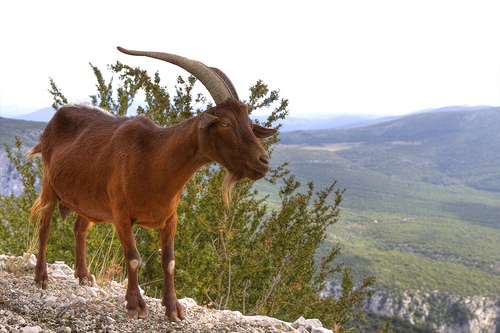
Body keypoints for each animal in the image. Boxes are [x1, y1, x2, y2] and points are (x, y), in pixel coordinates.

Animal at [26, 47, 278, 322]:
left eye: (249, 123)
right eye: (224, 123)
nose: (263, 161)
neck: (153, 159)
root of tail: (55, 119)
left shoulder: (170, 218)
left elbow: (169, 262)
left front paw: (173, 308)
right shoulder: (121, 215)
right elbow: (133, 258)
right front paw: (135, 304)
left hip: (89, 200)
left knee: (79, 228)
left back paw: (83, 276)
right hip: (50, 184)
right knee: (45, 226)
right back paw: (41, 277)